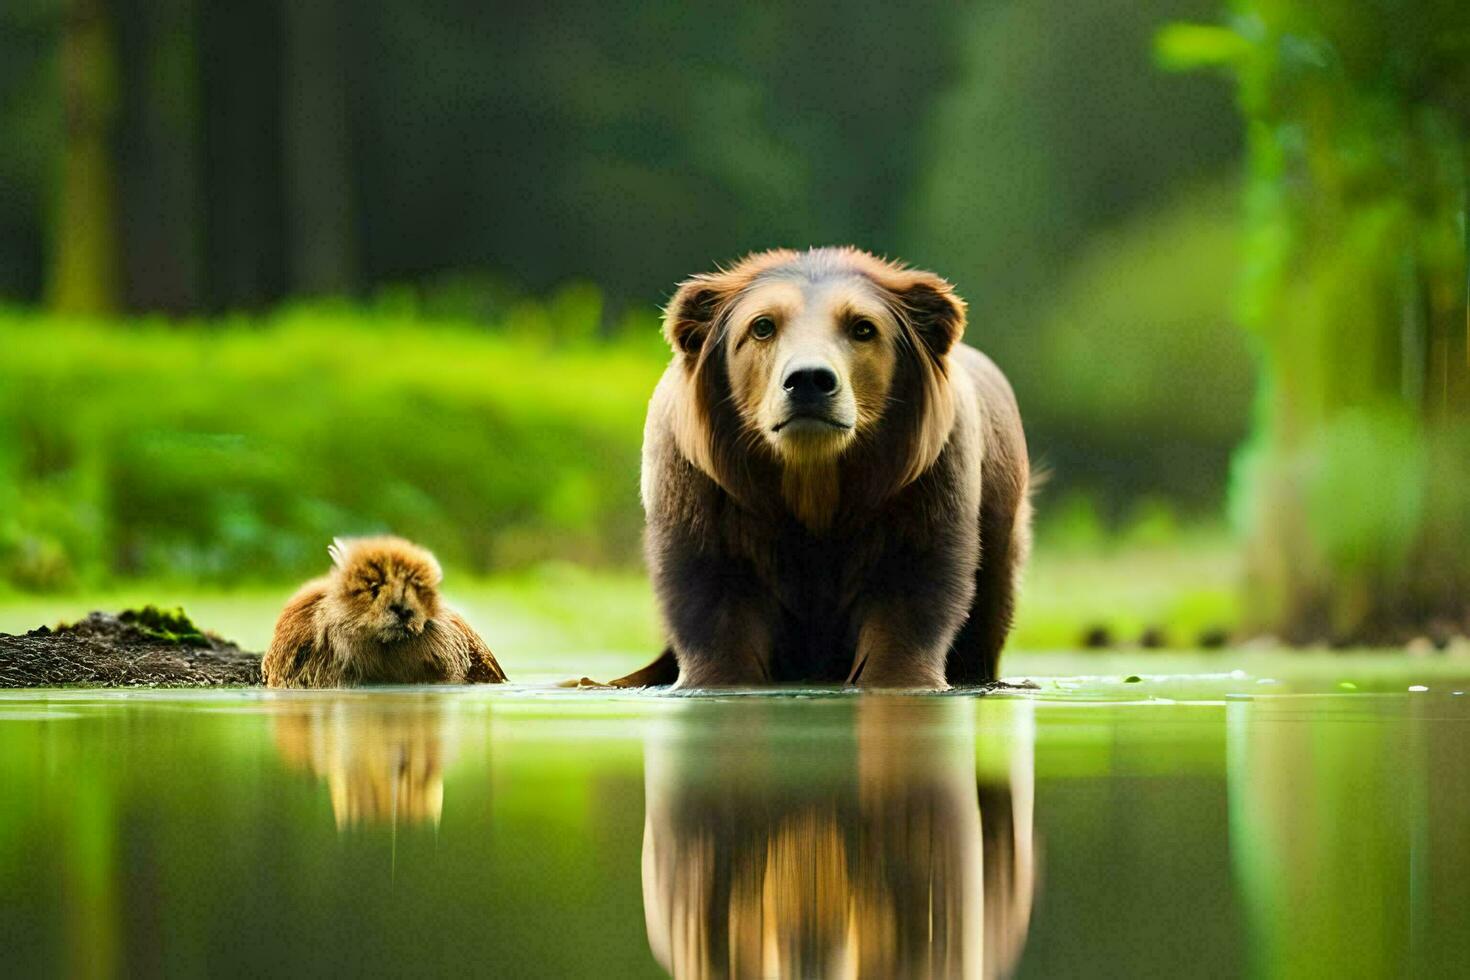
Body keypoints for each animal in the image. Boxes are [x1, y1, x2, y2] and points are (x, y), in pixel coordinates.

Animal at [620, 246, 1034, 690]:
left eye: (863, 327)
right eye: (762, 326)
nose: (809, 380)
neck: (813, 481)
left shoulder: (924, 488)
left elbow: (914, 593)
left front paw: (903, 676)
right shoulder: (706, 496)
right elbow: (711, 598)